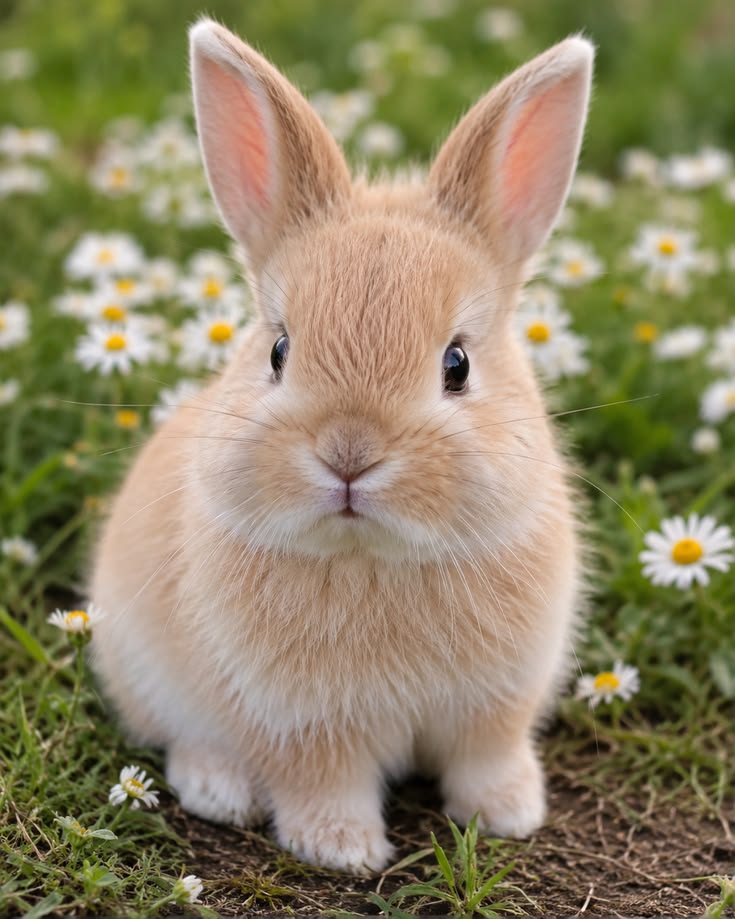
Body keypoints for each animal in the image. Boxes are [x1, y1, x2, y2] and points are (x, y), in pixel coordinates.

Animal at [89, 17, 593, 874]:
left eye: (457, 364)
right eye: (278, 350)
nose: (349, 455)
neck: (374, 557)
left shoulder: (495, 706)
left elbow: (487, 758)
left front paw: (509, 814)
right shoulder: (301, 723)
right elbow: (321, 781)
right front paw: (342, 849)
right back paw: (219, 789)